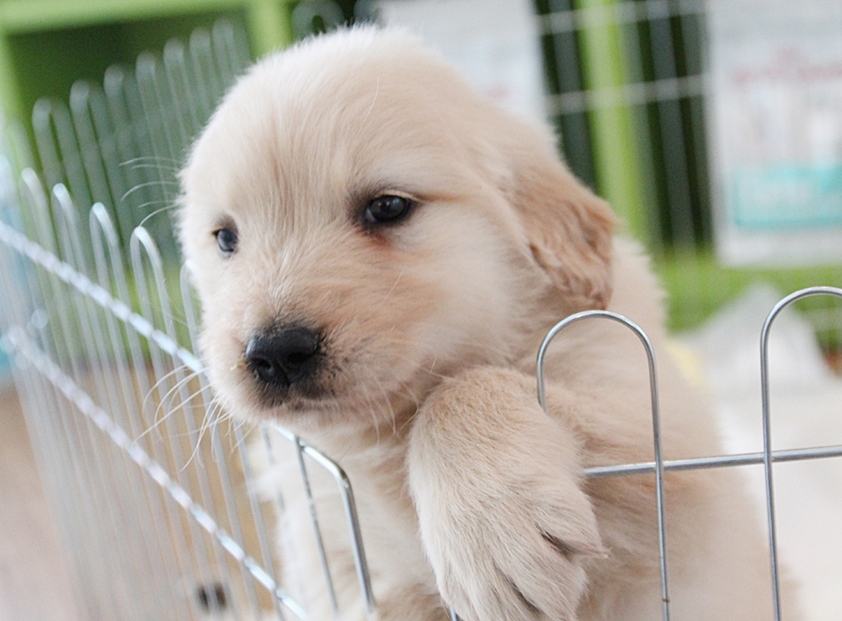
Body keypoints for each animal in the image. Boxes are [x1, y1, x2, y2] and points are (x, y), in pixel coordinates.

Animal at [178, 26, 796, 621]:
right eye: (226, 238)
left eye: (388, 207)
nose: (275, 352)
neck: (384, 438)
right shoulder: (324, 536)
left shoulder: (663, 439)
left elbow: (465, 389)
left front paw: (492, 530)